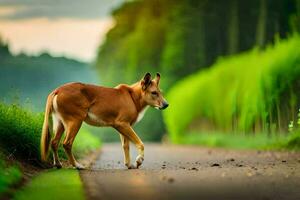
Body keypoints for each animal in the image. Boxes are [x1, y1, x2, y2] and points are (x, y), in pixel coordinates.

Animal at [40, 72, 168, 169]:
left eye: (160, 92)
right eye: (154, 93)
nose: (166, 104)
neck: (133, 97)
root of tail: (57, 90)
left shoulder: (125, 126)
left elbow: (125, 146)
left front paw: (128, 164)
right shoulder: (122, 124)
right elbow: (140, 143)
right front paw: (139, 160)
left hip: (60, 123)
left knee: (54, 142)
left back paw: (58, 164)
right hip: (75, 121)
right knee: (66, 143)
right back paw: (77, 165)